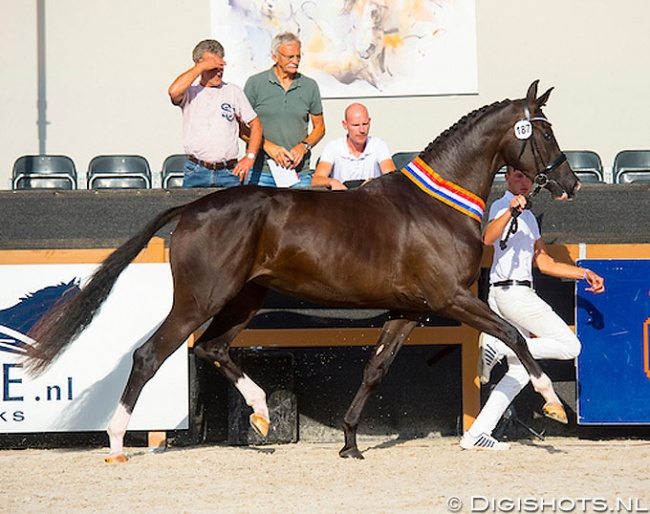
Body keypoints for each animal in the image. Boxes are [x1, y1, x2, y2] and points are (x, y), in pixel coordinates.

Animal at [27, 81, 580, 460]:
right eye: (544, 130)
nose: (571, 183)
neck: (436, 206)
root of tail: (192, 208)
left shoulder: (408, 311)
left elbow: (376, 369)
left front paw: (350, 441)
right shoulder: (451, 298)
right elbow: (515, 335)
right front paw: (552, 402)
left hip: (244, 299)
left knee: (213, 348)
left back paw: (261, 412)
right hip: (199, 300)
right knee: (149, 355)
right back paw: (118, 441)